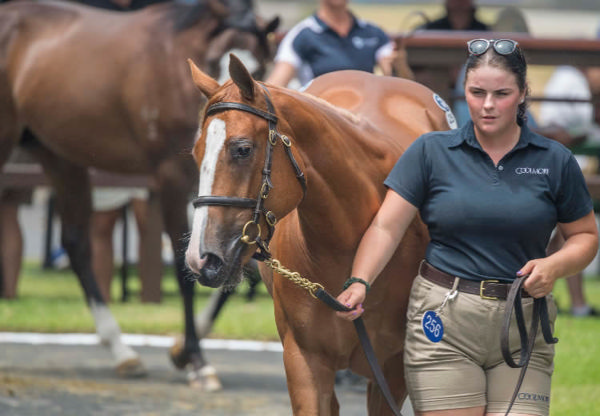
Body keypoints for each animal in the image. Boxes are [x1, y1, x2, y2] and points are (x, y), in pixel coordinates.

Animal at [0, 0, 278, 390]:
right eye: (213, 61)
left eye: (261, 68)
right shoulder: (173, 177)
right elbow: (185, 264)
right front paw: (196, 359)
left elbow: (244, 264)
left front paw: (182, 349)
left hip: (59, 155)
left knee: (76, 242)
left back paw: (122, 350)